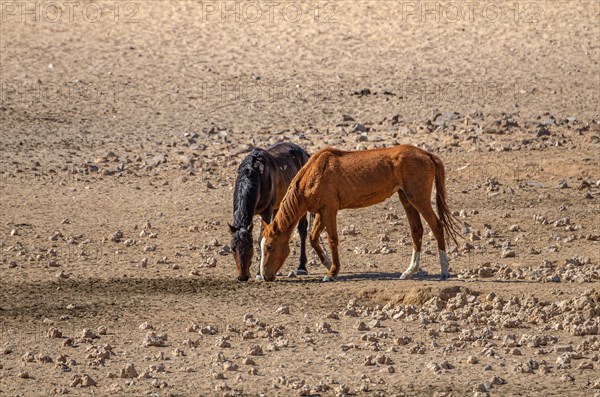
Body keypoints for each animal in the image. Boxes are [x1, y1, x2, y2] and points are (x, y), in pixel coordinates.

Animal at [231, 142, 312, 282]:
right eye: (233, 248)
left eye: (250, 247)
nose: (243, 277)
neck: (255, 174)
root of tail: (304, 153)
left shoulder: (266, 211)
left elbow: (261, 238)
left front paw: (258, 273)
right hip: (277, 206)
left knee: (302, 230)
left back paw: (302, 267)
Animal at [258, 145, 460, 282]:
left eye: (269, 246)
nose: (265, 275)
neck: (315, 173)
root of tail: (427, 155)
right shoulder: (321, 212)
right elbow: (313, 238)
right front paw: (328, 264)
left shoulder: (330, 210)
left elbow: (332, 240)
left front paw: (332, 272)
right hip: (407, 199)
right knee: (417, 230)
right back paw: (410, 271)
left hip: (419, 199)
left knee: (437, 226)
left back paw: (444, 270)